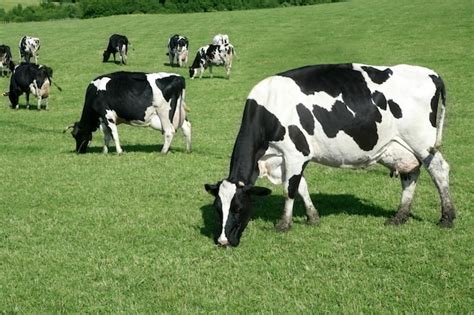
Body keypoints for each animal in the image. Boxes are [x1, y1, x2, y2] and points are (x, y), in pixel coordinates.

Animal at [205, 63, 456, 248]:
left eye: (238, 208)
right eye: (218, 209)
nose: (223, 241)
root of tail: (431, 73)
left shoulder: (295, 154)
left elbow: (290, 189)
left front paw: (284, 224)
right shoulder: (285, 159)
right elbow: (302, 187)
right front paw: (313, 217)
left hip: (422, 142)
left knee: (439, 170)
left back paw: (447, 217)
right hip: (402, 148)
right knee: (410, 175)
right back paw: (400, 216)